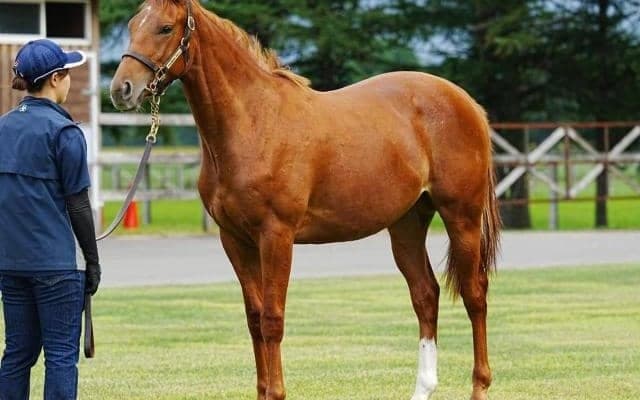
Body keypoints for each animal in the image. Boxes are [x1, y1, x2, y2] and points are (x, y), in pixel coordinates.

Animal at [110, 1, 501, 399]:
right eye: (132, 25)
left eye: (165, 28)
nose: (121, 89)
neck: (254, 122)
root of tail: (467, 103)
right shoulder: (234, 239)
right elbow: (254, 318)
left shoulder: (276, 236)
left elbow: (272, 319)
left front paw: (277, 391)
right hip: (406, 224)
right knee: (425, 295)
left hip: (462, 217)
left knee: (475, 294)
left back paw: (480, 385)